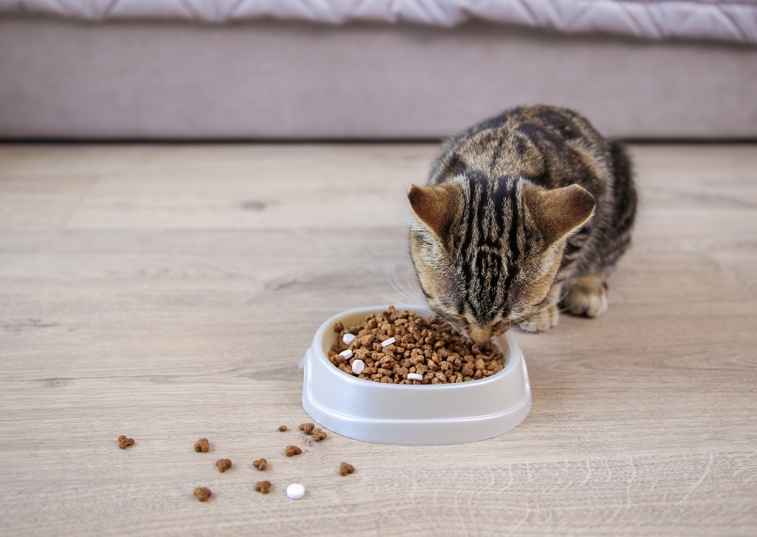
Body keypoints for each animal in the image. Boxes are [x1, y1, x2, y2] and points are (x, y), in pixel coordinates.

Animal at [404, 104, 636, 344]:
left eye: (507, 318)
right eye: (457, 314)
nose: (480, 340)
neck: (498, 162)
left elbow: (563, 267)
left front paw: (542, 310)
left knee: (607, 255)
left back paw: (588, 287)